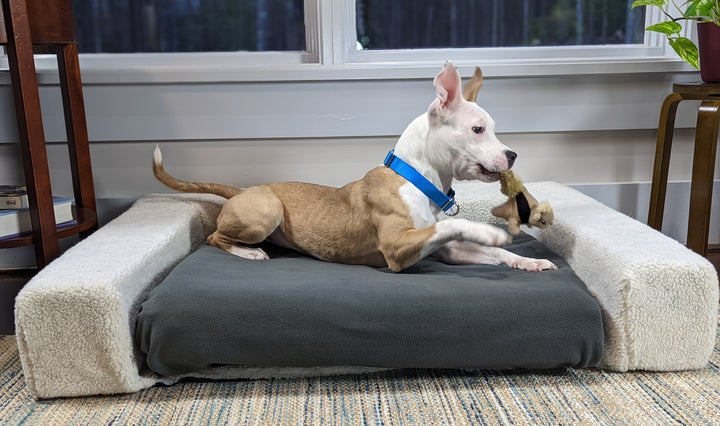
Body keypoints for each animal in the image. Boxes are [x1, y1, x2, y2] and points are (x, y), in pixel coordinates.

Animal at [153, 61, 556, 272]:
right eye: (477, 129)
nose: (512, 155)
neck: (418, 180)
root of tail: (242, 191)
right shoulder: (397, 248)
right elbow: (454, 225)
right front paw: (489, 231)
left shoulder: (447, 249)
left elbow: (487, 249)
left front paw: (525, 261)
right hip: (265, 212)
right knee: (214, 237)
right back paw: (249, 252)